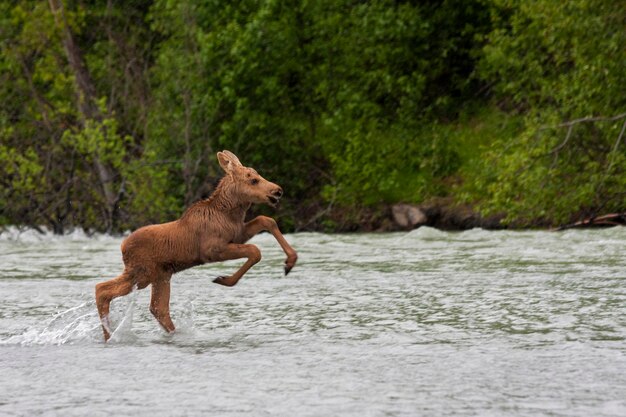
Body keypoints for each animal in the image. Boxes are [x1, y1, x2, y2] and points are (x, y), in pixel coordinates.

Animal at [94, 151, 296, 340]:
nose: (278, 190)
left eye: (258, 175)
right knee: (102, 289)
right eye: (253, 180)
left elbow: (266, 220)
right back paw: (110, 336)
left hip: (161, 275)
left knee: (158, 308)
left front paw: (290, 261)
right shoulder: (212, 250)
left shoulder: (238, 234)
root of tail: (122, 247)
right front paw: (224, 280)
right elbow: (255, 250)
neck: (231, 214)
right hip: (142, 272)